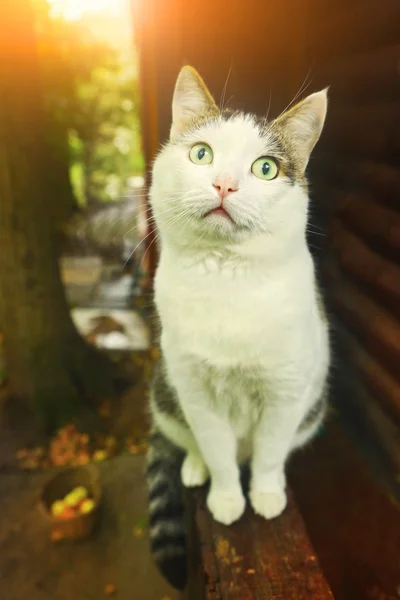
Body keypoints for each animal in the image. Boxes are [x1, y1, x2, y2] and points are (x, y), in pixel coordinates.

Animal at [145, 65, 330, 592]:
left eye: (265, 169)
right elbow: (219, 452)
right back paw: (193, 469)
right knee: (189, 442)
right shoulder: (195, 391)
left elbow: (268, 453)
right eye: (201, 153)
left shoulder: (286, 391)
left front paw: (265, 496)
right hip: (165, 392)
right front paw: (227, 500)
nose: (224, 184)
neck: (227, 279)